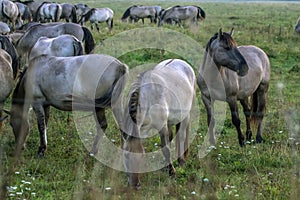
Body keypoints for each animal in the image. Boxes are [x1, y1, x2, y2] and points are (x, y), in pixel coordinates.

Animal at [118, 58, 196, 188]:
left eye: (142, 156)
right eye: (126, 155)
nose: (135, 185)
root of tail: (180, 61)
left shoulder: (161, 127)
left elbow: (166, 149)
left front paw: (172, 172)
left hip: (186, 115)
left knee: (181, 136)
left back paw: (181, 162)